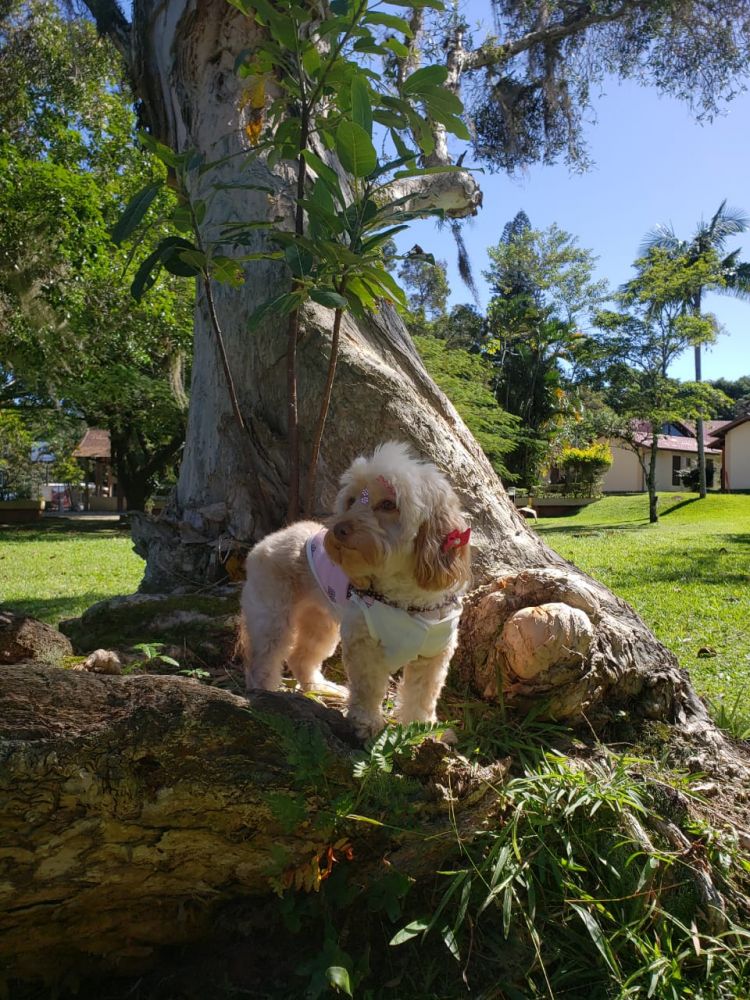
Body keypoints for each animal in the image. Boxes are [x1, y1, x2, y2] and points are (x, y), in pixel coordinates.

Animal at [240, 442, 472, 738]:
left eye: (388, 504)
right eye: (351, 501)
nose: (339, 529)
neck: (407, 601)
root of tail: (268, 540)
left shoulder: (434, 655)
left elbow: (422, 695)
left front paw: (423, 728)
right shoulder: (365, 645)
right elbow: (368, 689)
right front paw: (367, 723)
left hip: (321, 624)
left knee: (302, 657)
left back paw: (321, 688)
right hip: (272, 617)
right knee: (264, 660)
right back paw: (266, 694)